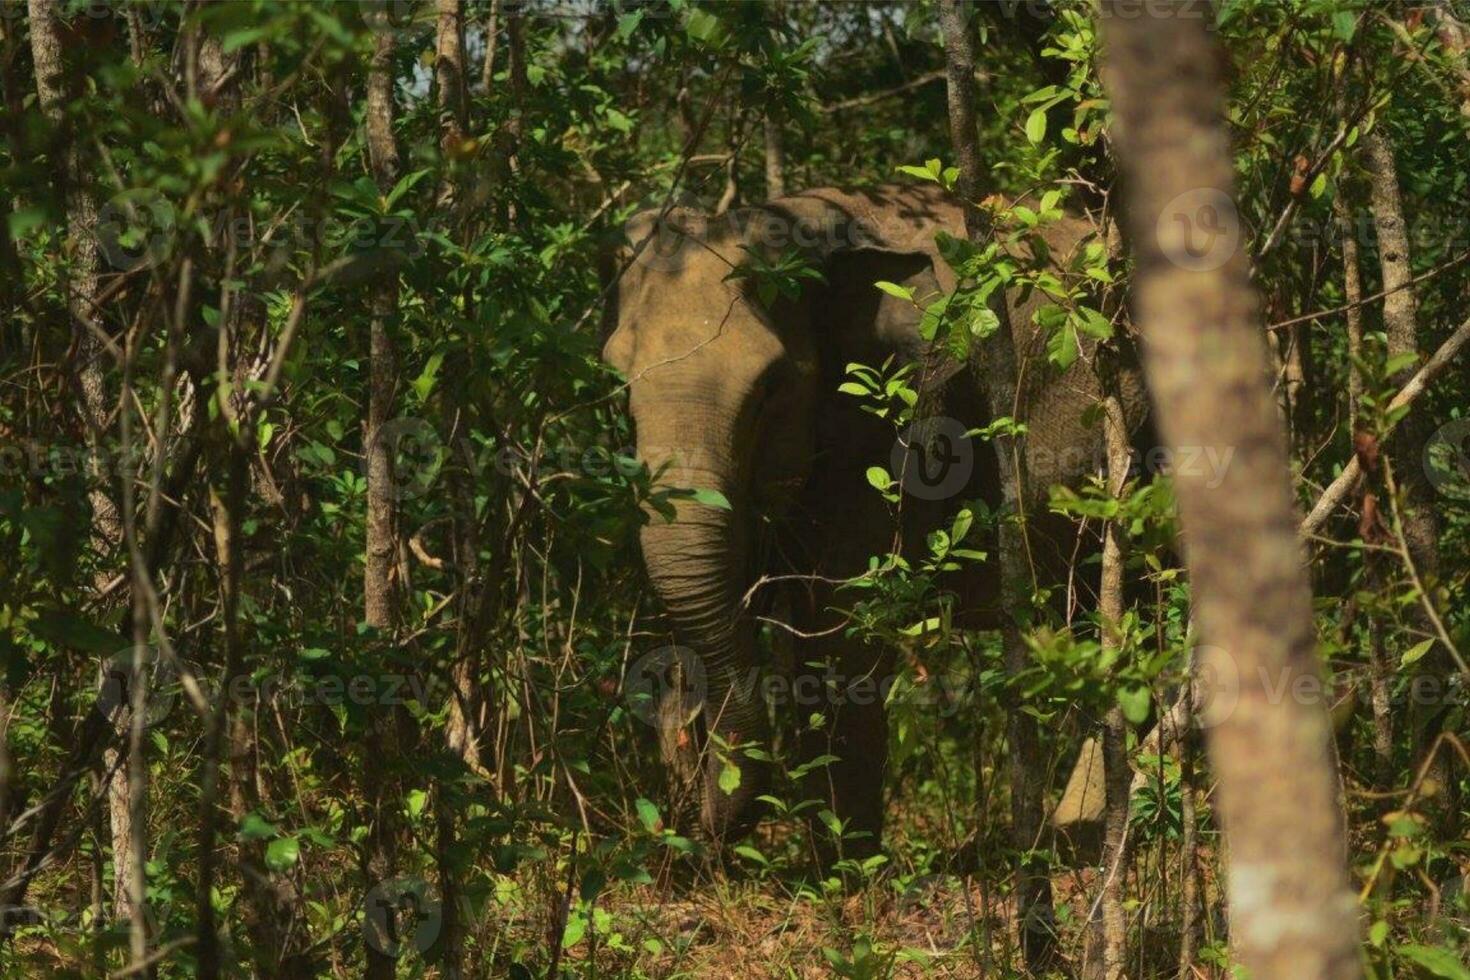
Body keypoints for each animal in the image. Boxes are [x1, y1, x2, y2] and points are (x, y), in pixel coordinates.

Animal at [599, 183, 1146, 858]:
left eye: (770, 388)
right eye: (620, 381)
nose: (692, 825)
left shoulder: (897, 427)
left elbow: (840, 628)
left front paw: (846, 863)